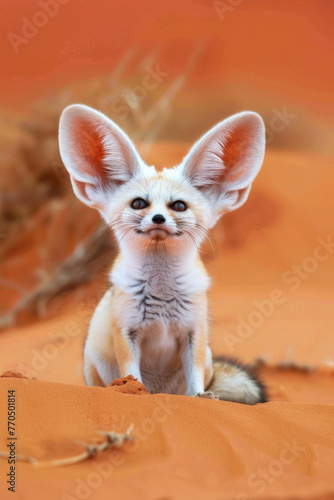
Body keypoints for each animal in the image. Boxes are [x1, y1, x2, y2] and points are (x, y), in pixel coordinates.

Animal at [58, 103, 266, 404]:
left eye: (178, 206)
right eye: (139, 204)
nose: (158, 218)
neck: (162, 297)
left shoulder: (194, 332)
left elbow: (194, 378)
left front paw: (200, 396)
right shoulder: (126, 331)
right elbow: (132, 375)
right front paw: (135, 391)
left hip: (206, 356)